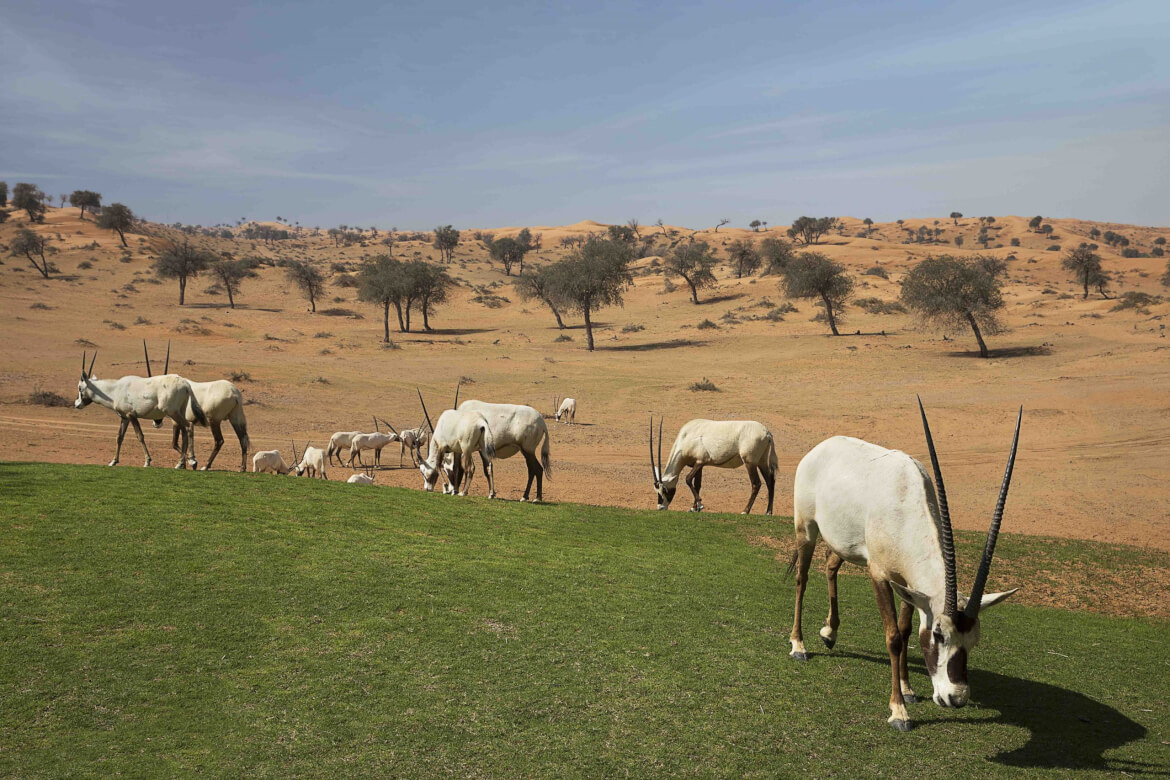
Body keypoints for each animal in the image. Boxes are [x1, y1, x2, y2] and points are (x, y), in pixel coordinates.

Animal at [786, 399, 1024, 734]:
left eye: (974, 639)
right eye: (938, 634)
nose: (956, 698)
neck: (906, 501)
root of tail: (819, 448)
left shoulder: (910, 584)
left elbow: (907, 629)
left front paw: (908, 690)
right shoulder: (880, 574)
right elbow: (894, 637)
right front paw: (899, 710)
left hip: (844, 544)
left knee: (831, 565)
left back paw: (830, 633)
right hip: (806, 530)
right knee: (802, 579)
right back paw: (798, 645)